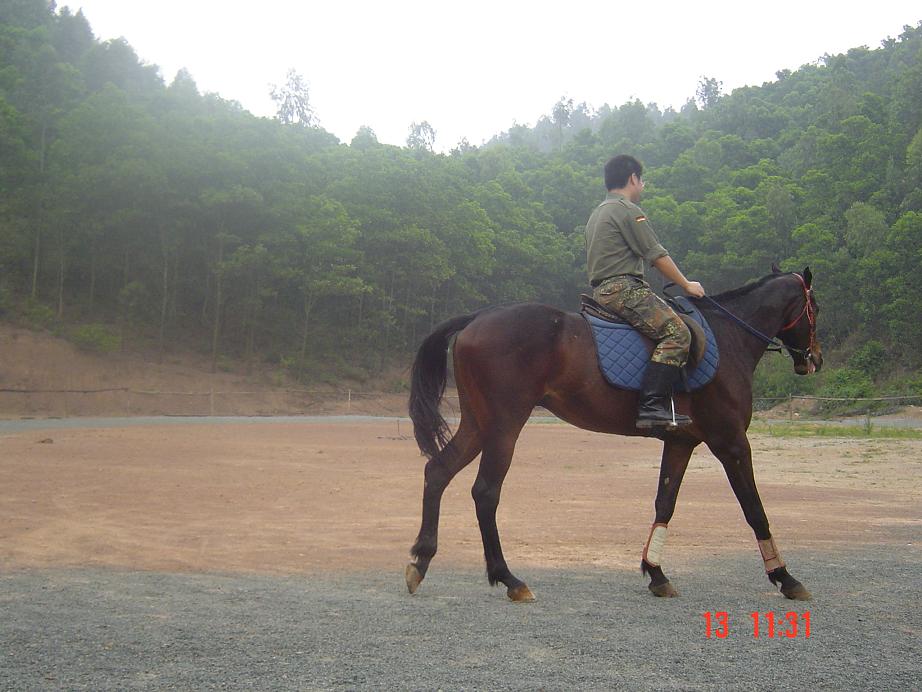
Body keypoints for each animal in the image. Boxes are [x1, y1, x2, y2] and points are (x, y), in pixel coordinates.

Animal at [402, 268, 820, 604]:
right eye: (814, 307)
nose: (813, 359)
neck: (730, 336)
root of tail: (479, 317)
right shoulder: (731, 442)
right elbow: (755, 509)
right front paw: (785, 577)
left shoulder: (681, 442)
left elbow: (664, 504)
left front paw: (656, 573)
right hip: (504, 426)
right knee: (485, 492)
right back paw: (509, 579)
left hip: (479, 424)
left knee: (438, 472)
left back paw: (421, 561)